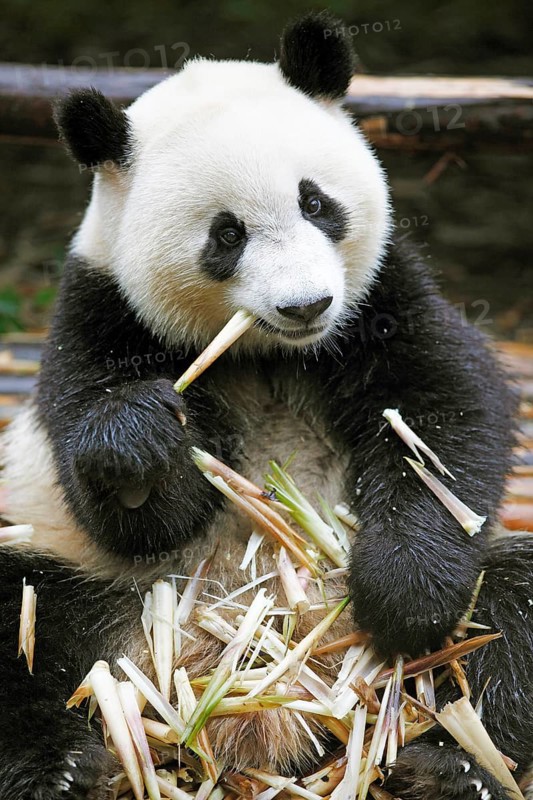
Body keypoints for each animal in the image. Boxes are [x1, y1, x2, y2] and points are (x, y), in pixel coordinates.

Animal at [1, 11, 532, 800]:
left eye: (315, 202)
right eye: (227, 235)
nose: (305, 304)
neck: (267, 353)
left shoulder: (383, 298)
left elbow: (445, 416)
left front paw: (406, 595)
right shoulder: (99, 316)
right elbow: (130, 508)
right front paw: (139, 442)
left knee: (511, 609)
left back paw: (452, 763)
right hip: (80, 578)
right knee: (23, 615)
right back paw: (59, 767)